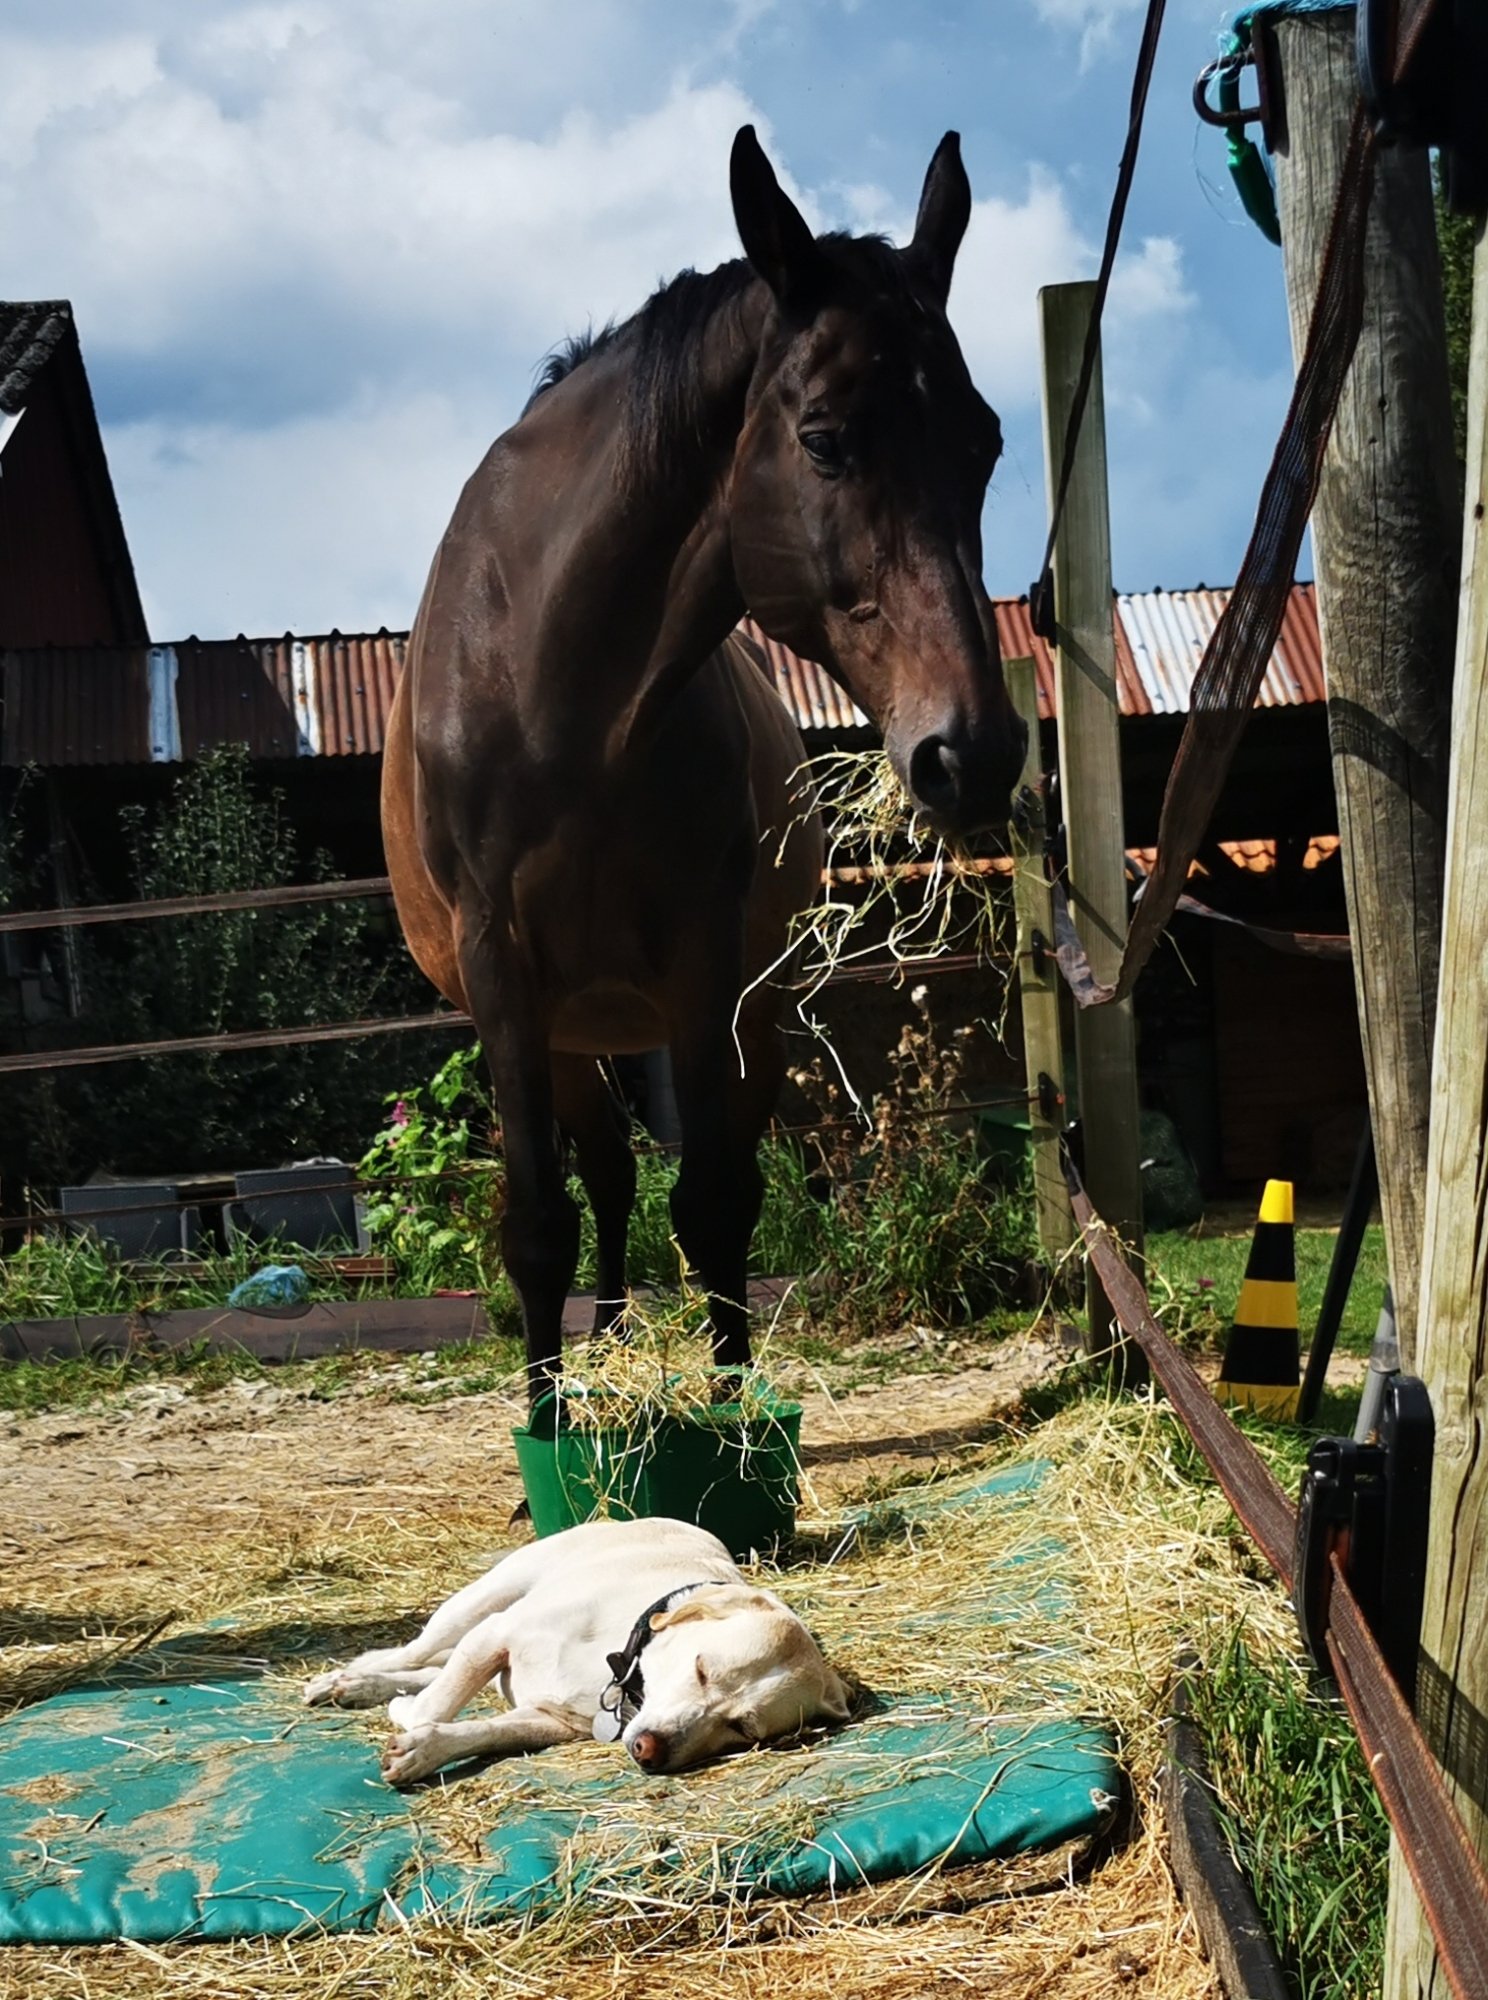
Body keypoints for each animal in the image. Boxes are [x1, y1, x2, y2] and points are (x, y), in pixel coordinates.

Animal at [380, 129, 1024, 1424]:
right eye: (824, 437)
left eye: (982, 441)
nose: (970, 751)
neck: (558, 694)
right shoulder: (504, 978)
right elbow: (538, 1224)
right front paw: (547, 1440)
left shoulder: (707, 964)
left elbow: (717, 1206)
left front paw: (729, 1424)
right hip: (571, 1031)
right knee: (603, 1176)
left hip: (727, 1010)